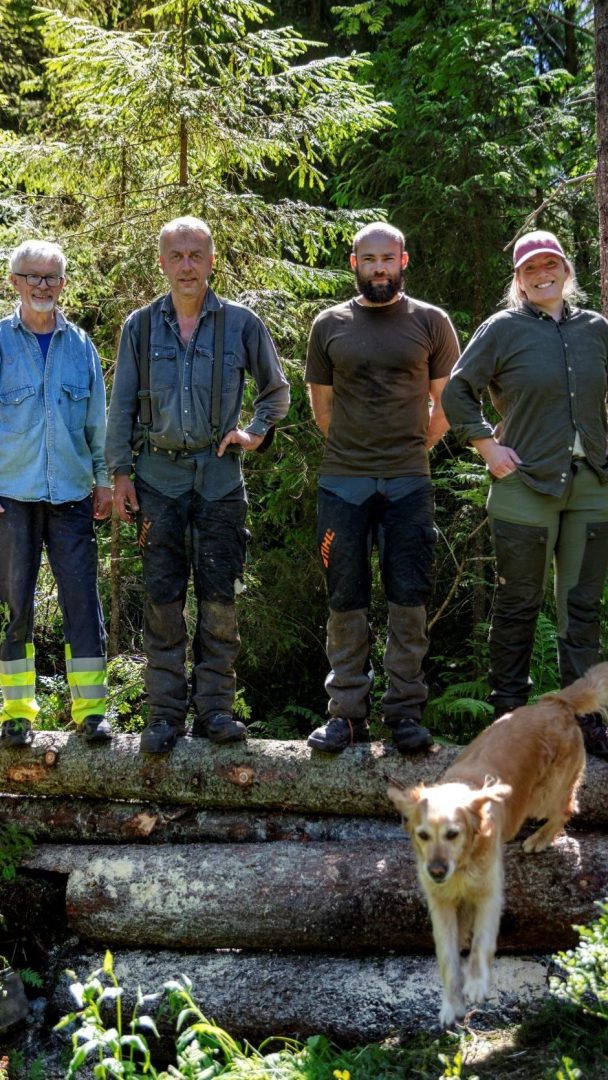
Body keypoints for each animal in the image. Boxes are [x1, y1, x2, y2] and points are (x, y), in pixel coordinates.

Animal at [388, 660, 608, 1023]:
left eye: (453, 833)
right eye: (422, 835)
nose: (436, 871)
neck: (462, 865)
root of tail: (554, 701)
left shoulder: (490, 892)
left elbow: (481, 942)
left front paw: (476, 985)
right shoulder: (441, 904)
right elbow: (448, 958)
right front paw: (450, 1004)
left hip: (544, 796)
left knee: (567, 807)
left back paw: (539, 838)